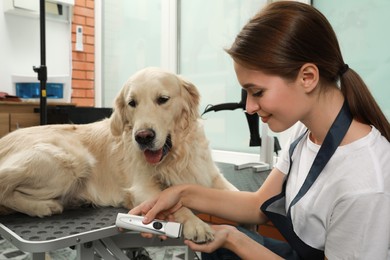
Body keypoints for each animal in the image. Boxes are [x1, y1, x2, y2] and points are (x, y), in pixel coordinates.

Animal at [0, 68, 238, 243]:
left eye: (163, 99)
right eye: (132, 103)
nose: (143, 137)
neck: (176, 156)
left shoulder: (211, 176)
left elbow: (234, 193)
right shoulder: (142, 188)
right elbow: (175, 204)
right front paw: (196, 224)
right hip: (75, 160)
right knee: (5, 191)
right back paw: (43, 206)